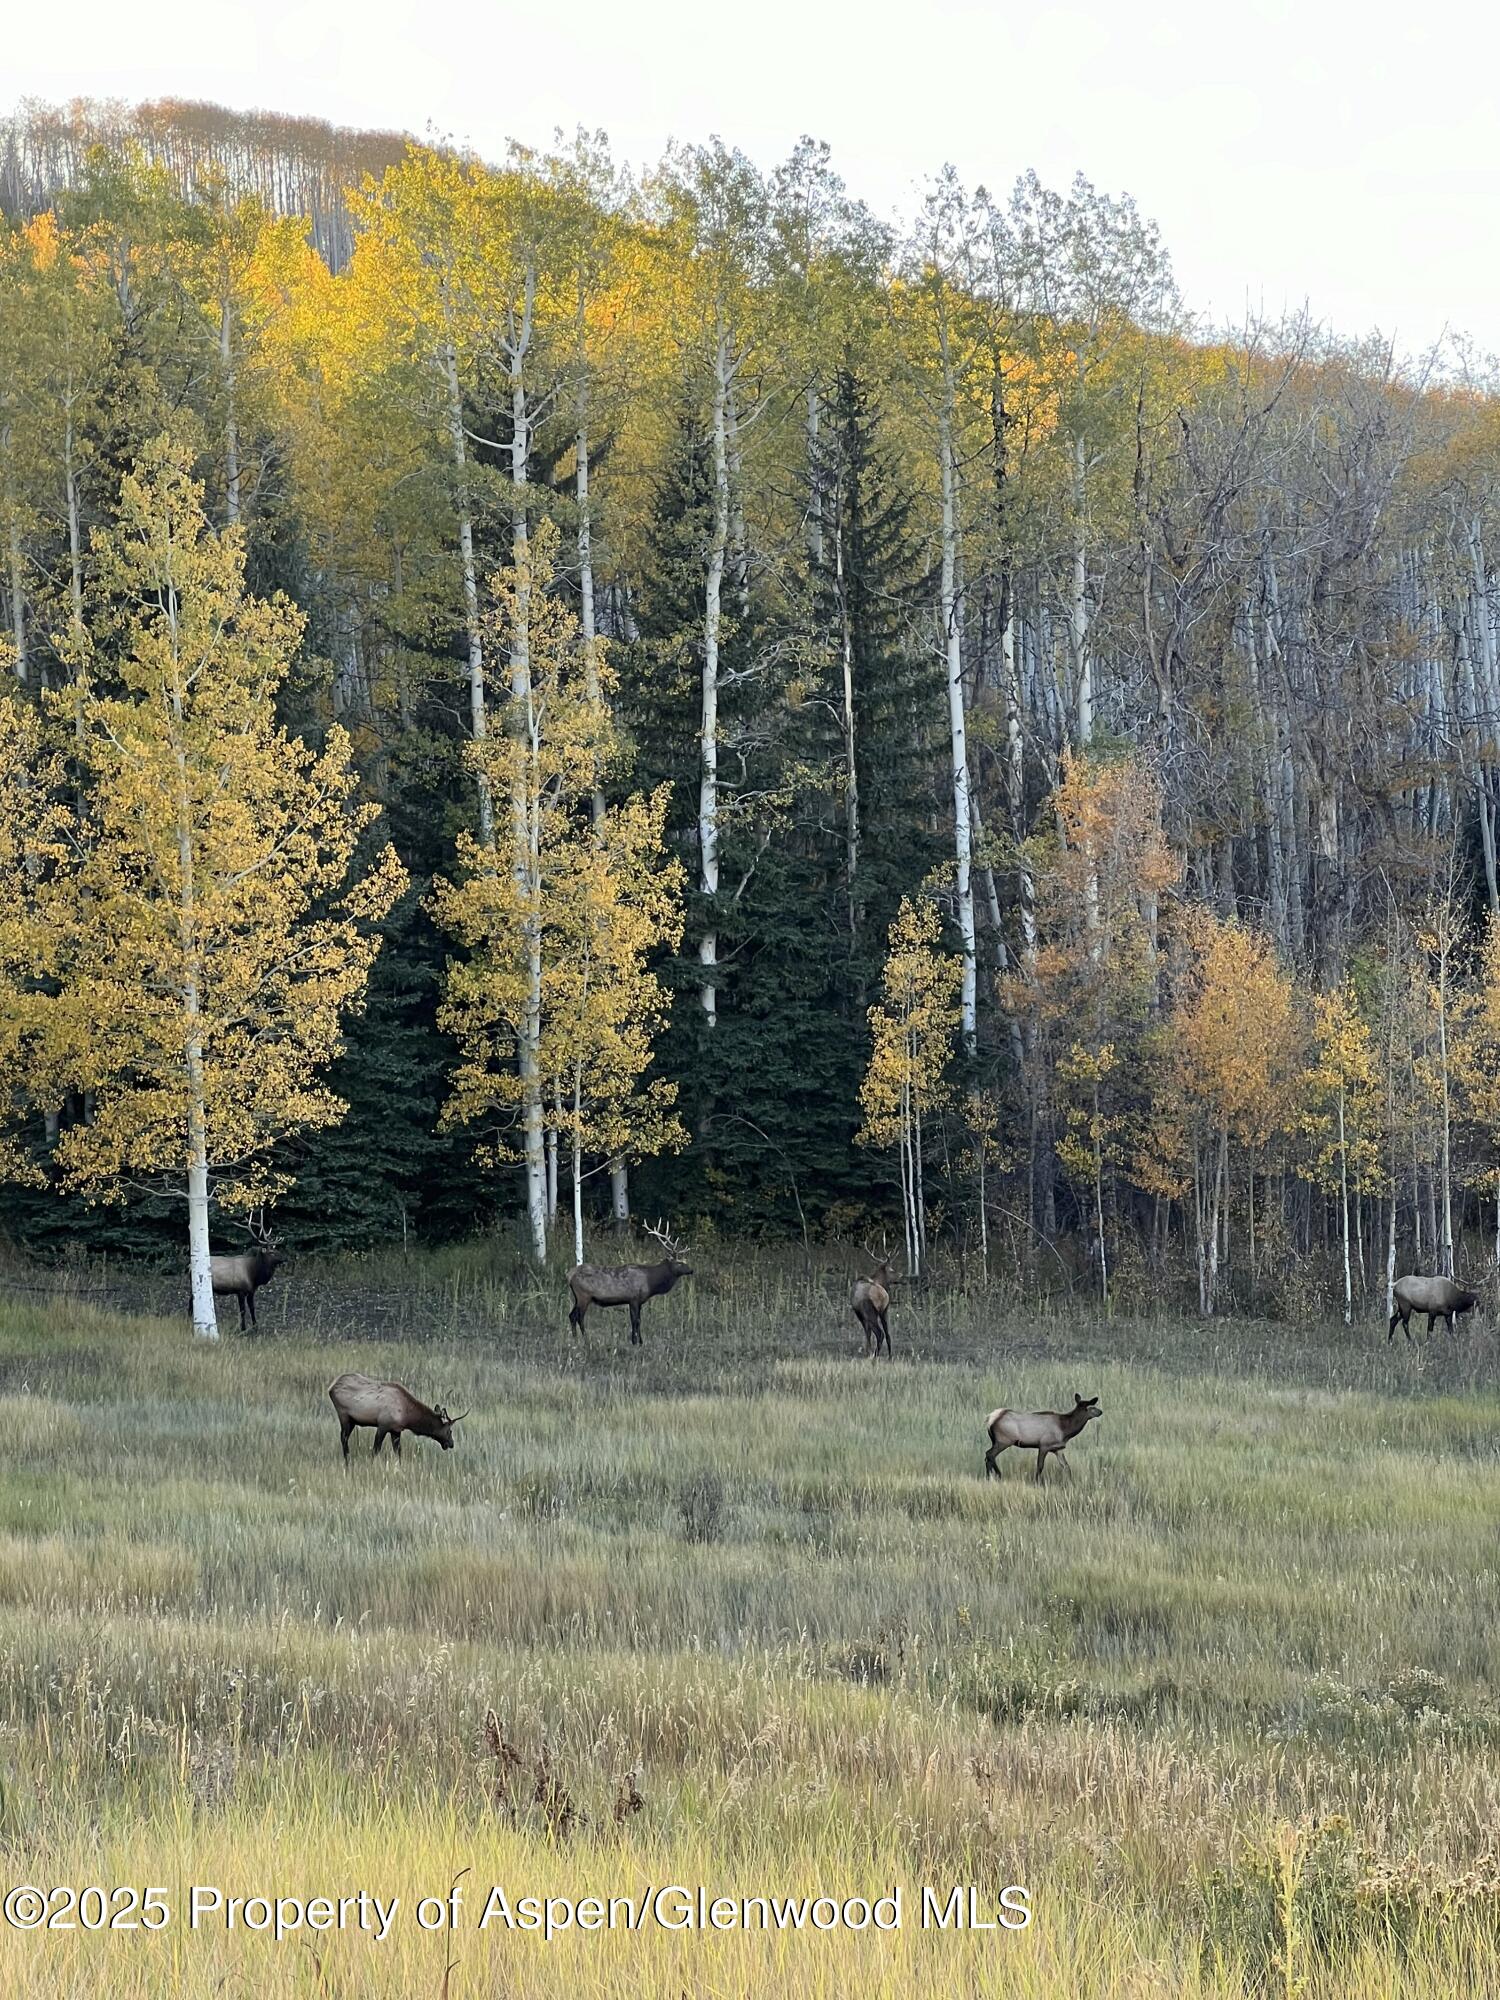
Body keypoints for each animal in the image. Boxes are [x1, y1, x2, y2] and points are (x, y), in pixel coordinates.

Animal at [328, 1373, 467, 1464]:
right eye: (449, 1431)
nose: (451, 1444)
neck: (407, 1416)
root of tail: (331, 1387)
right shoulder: (383, 1425)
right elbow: (375, 1449)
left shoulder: (396, 1430)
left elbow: (398, 1452)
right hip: (344, 1416)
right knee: (344, 1439)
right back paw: (347, 1460)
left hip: (351, 1420)